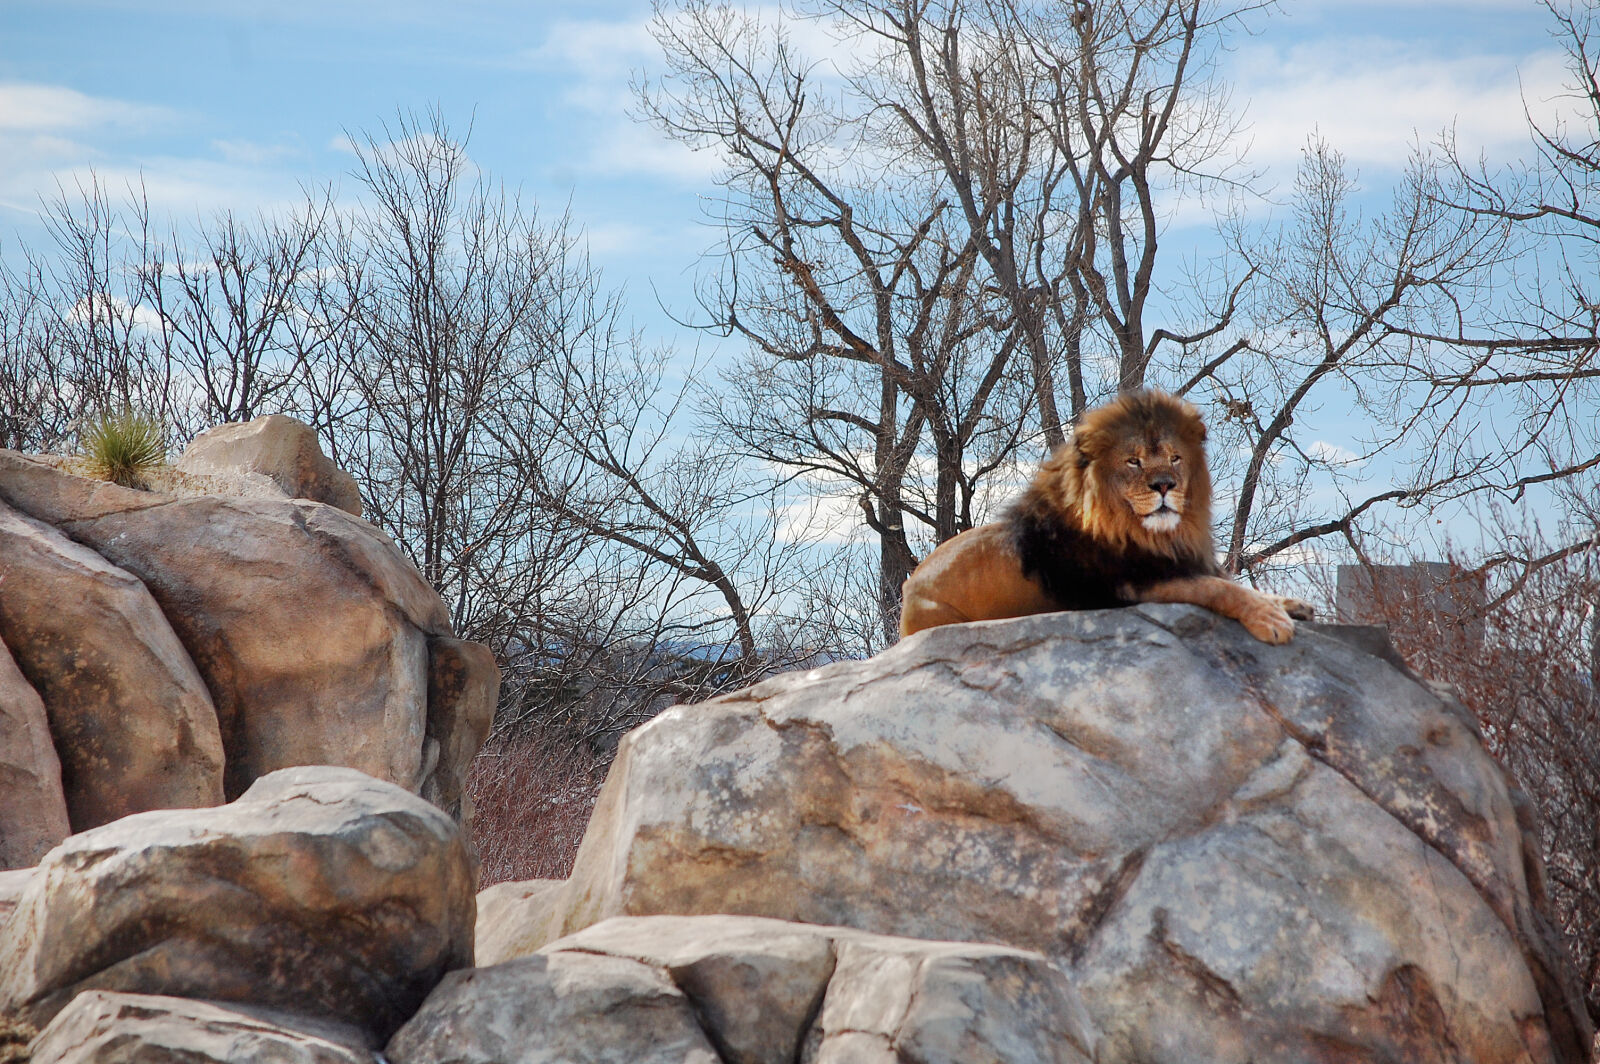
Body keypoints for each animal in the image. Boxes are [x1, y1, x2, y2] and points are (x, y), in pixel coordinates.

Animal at [898, 389, 1314, 643]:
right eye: (1134, 461)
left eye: (1175, 457)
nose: (1164, 485)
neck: (1151, 532)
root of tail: (908, 586)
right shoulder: (1134, 585)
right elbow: (1217, 587)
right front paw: (1271, 620)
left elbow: (1232, 582)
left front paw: (1289, 604)